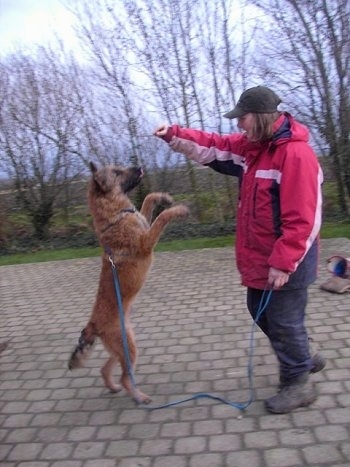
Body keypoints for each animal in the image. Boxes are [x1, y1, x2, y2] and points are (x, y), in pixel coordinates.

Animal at [68, 163, 189, 404]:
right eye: (116, 172)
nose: (140, 167)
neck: (117, 215)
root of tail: (92, 324)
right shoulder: (146, 242)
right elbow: (162, 217)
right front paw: (178, 209)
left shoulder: (144, 222)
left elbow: (148, 202)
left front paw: (162, 196)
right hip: (128, 348)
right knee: (125, 377)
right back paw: (139, 397)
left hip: (124, 346)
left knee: (106, 369)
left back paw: (113, 387)